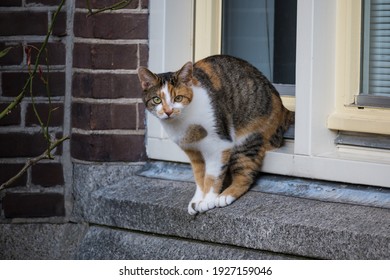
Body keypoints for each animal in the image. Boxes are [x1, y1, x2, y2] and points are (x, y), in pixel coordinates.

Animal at [137, 54, 292, 214]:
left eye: (178, 98)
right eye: (157, 100)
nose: (168, 111)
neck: (183, 124)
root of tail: (284, 109)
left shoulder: (219, 145)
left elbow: (212, 175)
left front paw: (207, 201)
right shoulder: (192, 151)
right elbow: (199, 175)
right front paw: (197, 200)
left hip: (246, 140)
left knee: (245, 175)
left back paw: (225, 196)